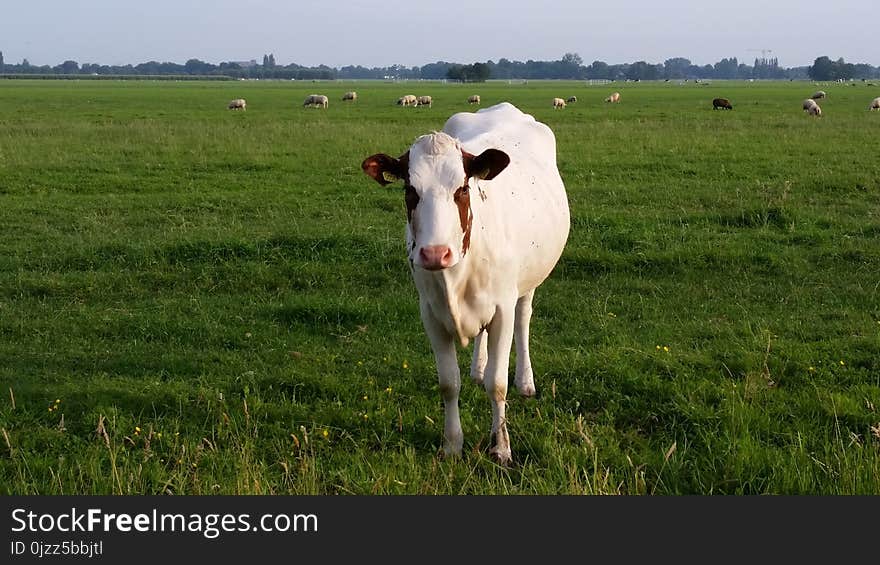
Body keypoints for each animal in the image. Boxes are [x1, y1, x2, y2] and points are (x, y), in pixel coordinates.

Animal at [360, 102, 572, 462]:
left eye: (461, 189)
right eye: (410, 191)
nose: (435, 253)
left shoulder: (502, 309)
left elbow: (497, 384)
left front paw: (501, 447)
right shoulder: (430, 314)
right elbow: (449, 383)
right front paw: (451, 444)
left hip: (528, 282)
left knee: (524, 319)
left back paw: (525, 381)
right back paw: (478, 368)